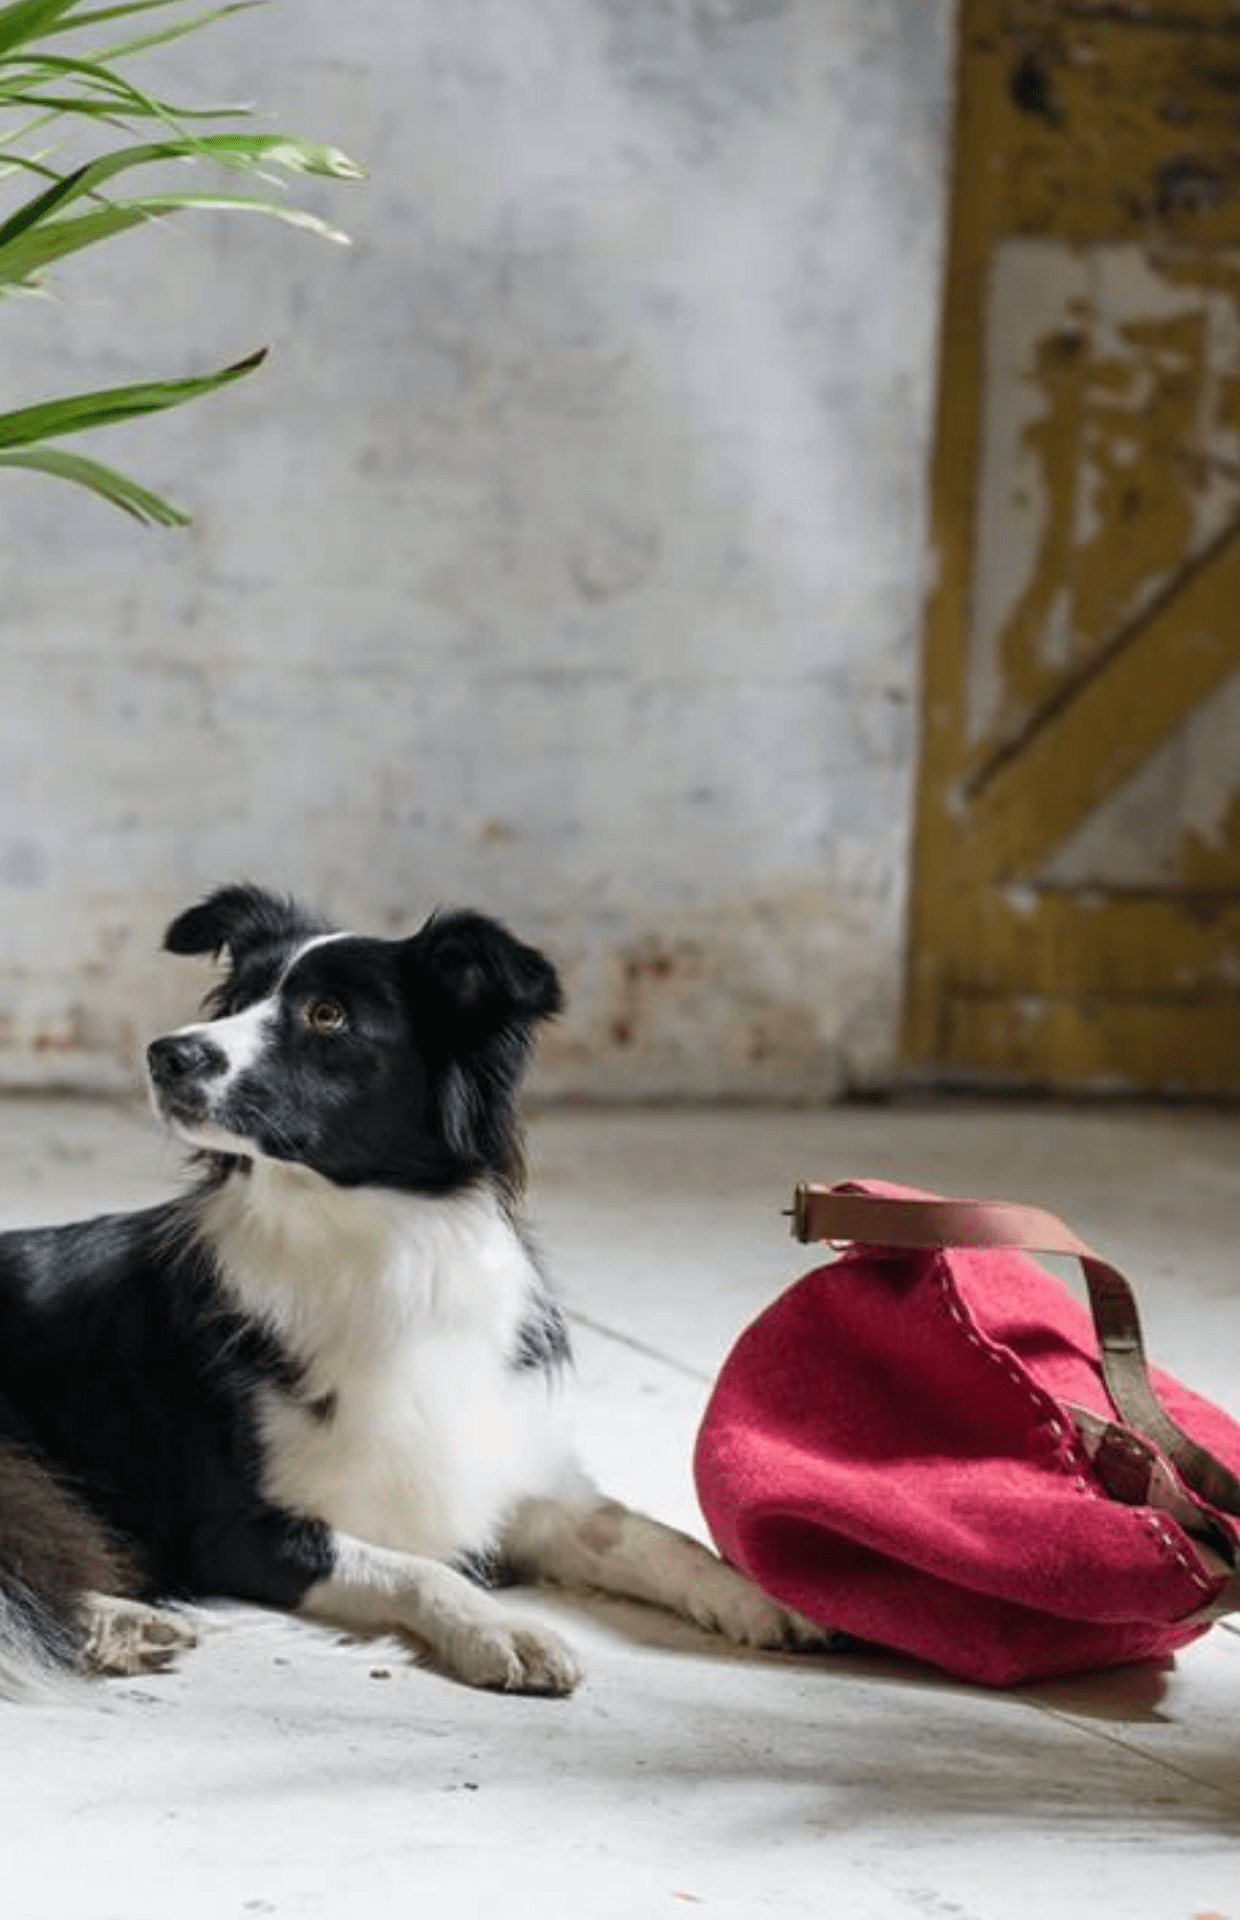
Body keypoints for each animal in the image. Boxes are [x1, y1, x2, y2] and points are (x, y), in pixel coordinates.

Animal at [2, 883, 836, 1697]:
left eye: (327, 1015)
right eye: (237, 1000)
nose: (165, 1054)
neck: (374, 1238)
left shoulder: (503, 1469)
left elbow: (642, 1532)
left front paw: (759, 1596)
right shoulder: (236, 1527)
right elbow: (416, 1568)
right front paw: (503, 1630)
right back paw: (112, 1623)